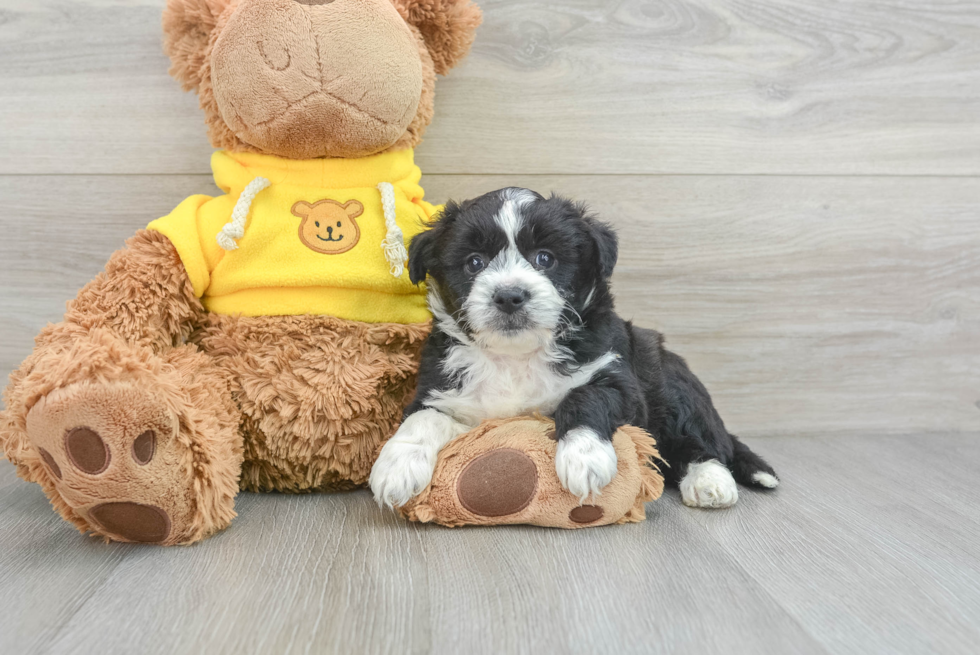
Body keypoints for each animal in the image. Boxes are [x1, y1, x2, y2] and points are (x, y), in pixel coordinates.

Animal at [370, 187, 780, 510]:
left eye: (545, 258)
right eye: (474, 262)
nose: (509, 295)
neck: (516, 357)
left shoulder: (619, 380)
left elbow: (584, 397)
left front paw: (585, 457)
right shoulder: (441, 389)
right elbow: (422, 419)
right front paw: (396, 465)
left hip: (671, 380)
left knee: (701, 441)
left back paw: (710, 481)